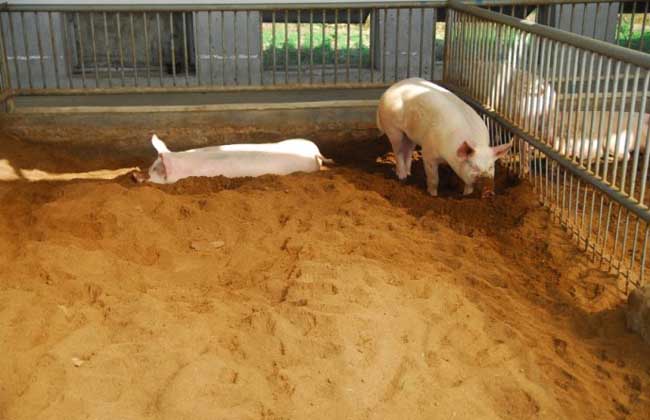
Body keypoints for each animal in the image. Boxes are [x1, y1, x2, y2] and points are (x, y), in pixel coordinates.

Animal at [374, 78, 512, 199]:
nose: (488, 191)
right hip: (393, 128)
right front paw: (433, 195)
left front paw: (466, 195)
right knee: (398, 151)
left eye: (491, 167)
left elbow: (468, 185)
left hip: (410, 134)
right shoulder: (428, 152)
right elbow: (434, 179)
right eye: (473, 166)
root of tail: (391, 88)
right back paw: (402, 177)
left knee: (408, 150)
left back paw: (409, 173)